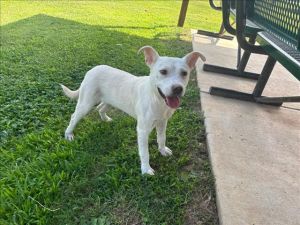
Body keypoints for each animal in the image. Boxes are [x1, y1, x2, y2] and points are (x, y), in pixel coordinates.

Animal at [61, 46, 206, 176]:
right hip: (86, 103)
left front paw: (162, 150)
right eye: (163, 71)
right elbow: (145, 152)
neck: (157, 100)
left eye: (184, 73)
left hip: (110, 101)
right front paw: (146, 169)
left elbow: (161, 138)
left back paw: (105, 119)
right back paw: (69, 134)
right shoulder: (142, 130)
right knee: (74, 116)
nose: (178, 89)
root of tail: (92, 69)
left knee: (100, 108)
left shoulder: (163, 122)